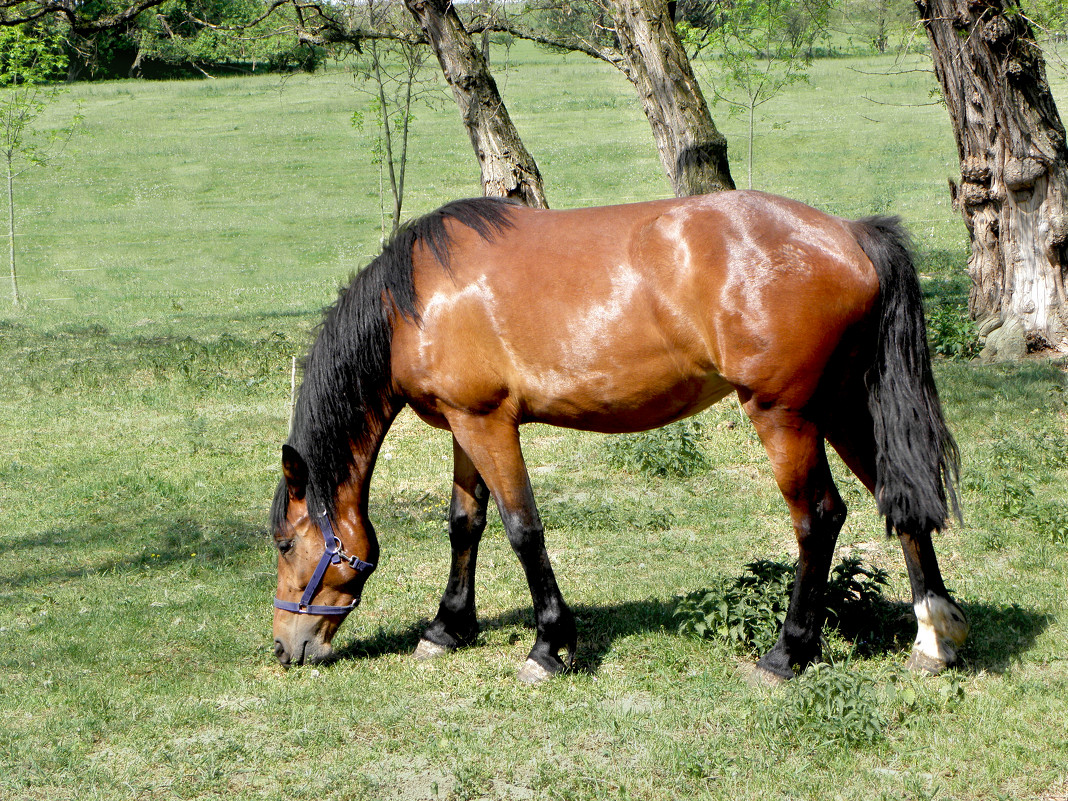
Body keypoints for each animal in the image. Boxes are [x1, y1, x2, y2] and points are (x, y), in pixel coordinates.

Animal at [269, 190, 969, 683]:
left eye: (284, 543)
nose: (285, 645)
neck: (413, 301)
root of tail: (850, 233)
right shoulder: (463, 426)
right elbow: (465, 524)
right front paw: (447, 628)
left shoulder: (488, 423)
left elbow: (522, 530)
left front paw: (549, 646)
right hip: (846, 405)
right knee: (901, 503)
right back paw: (934, 639)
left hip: (785, 415)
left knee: (819, 517)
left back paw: (785, 654)